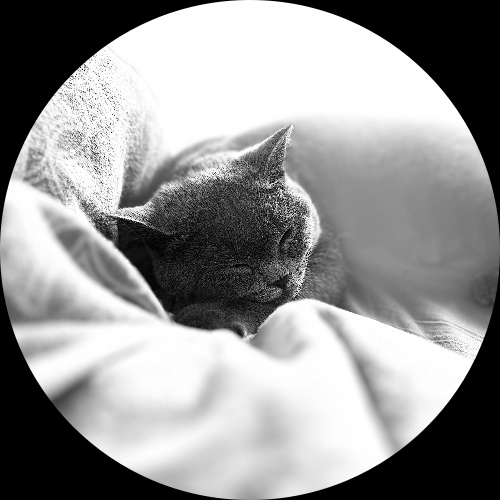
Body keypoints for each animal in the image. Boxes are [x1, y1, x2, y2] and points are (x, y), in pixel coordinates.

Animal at [114, 125, 346, 338]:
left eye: (285, 236)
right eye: (237, 266)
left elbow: (295, 297)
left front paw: (208, 317)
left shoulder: (329, 253)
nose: (281, 279)